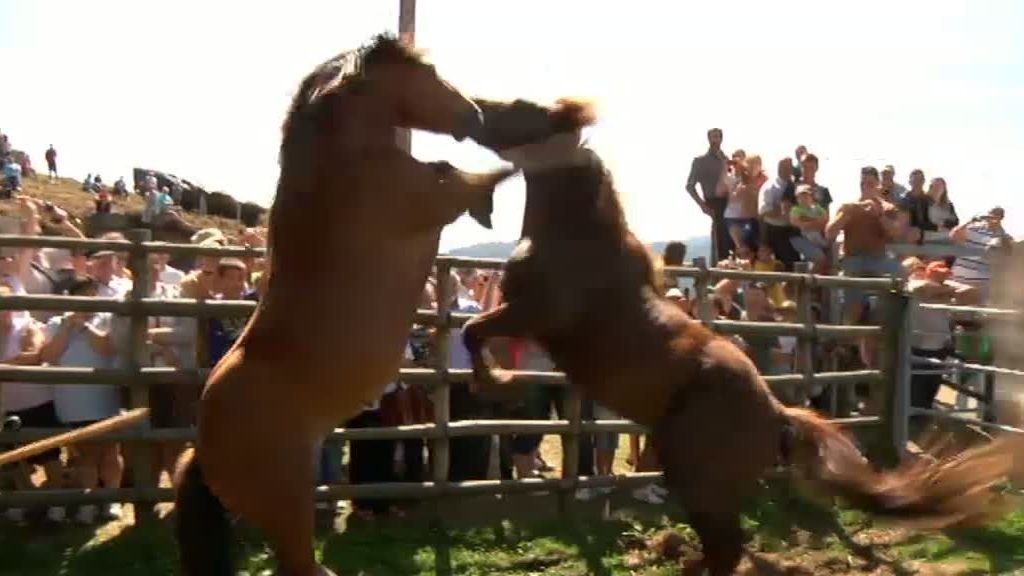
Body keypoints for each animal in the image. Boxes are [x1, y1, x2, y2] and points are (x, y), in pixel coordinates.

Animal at [172, 34, 515, 576]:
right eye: (428, 72)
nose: (475, 115)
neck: (345, 167)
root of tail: (202, 453)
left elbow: (453, 171)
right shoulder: (431, 203)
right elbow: (477, 178)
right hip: (288, 506)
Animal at [460, 97, 1018, 575]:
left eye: (522, 108)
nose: (475, 108)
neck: (577, 239)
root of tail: (775, 414)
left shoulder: (534, 313)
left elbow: (471, 331)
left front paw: (495, 381)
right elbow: (473, 330)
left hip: (701, 479)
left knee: (725, 549)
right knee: (719, 549)